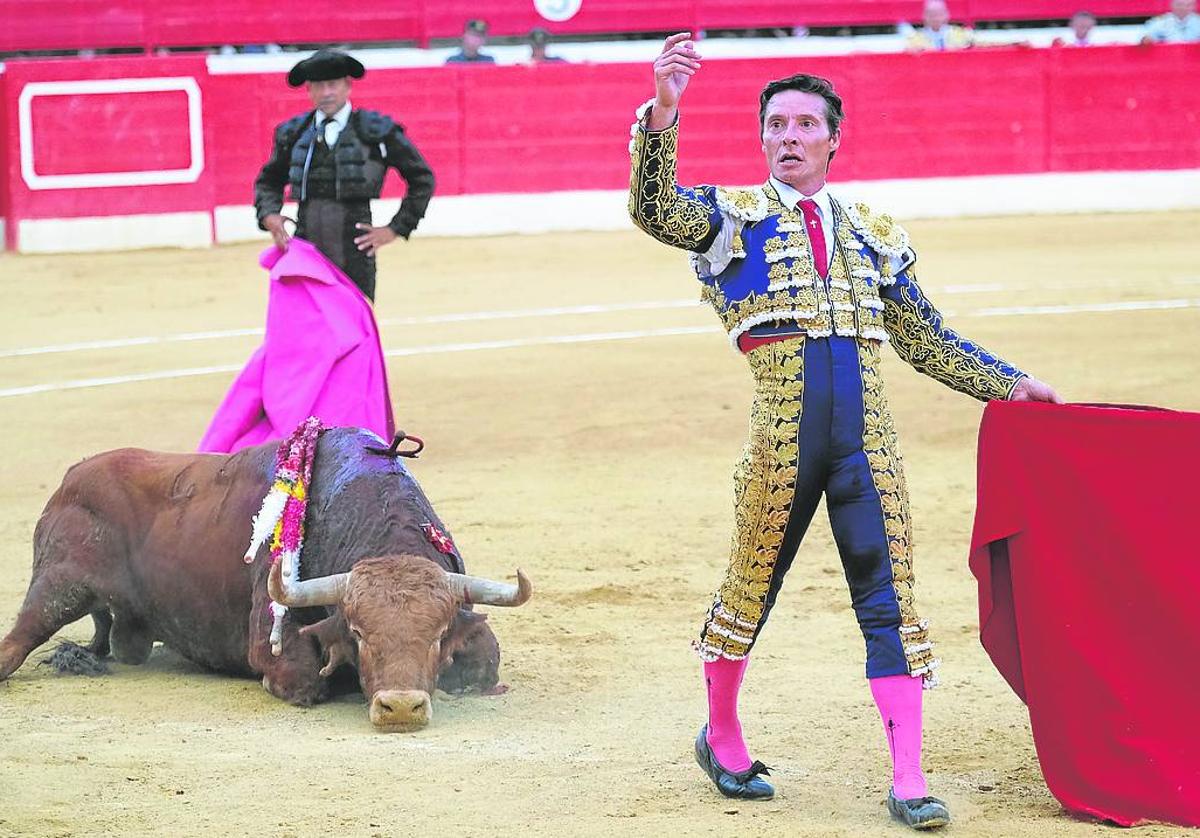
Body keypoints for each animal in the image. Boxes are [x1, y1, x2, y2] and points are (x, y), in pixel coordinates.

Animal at [0, 427, 530, 729]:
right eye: (358, 633)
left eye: (438, 635)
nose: (400, 708)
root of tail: (70, 478)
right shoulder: (272, 648)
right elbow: (306, 681)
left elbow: (484, 663)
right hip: (56, 590)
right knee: (16, 643)